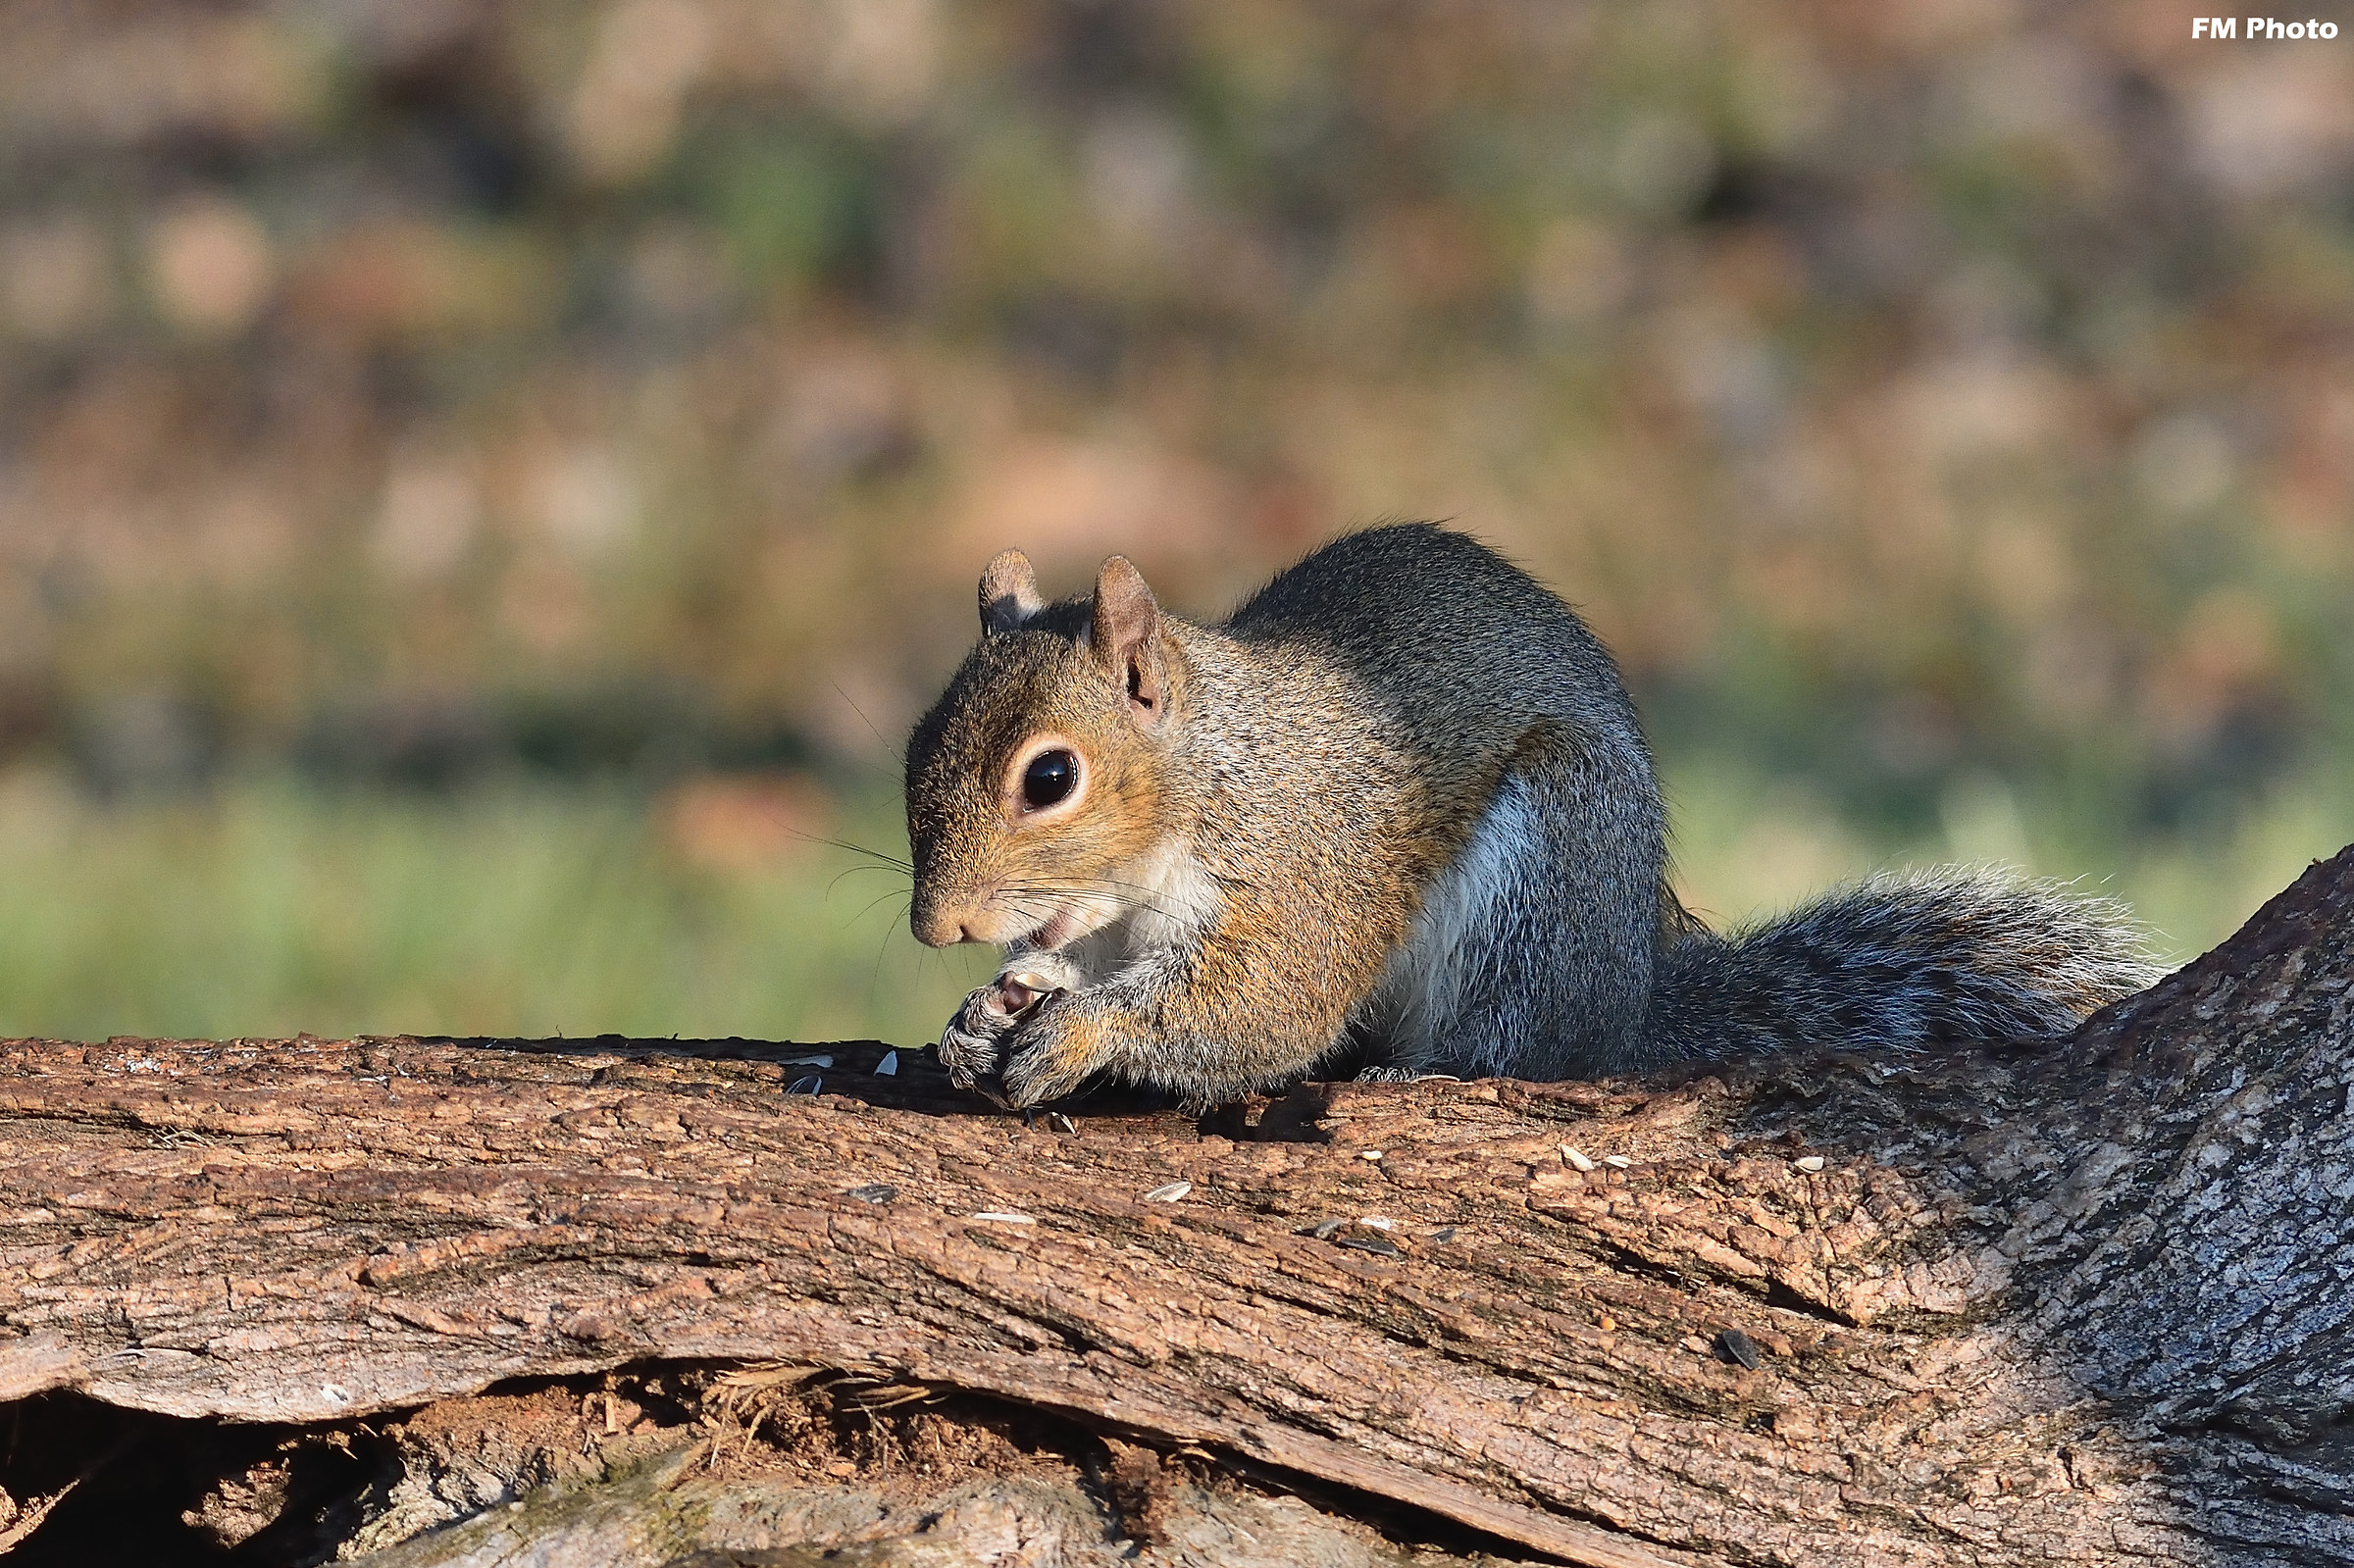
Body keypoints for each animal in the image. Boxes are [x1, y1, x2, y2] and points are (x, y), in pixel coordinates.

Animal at [903, 523, 2157, 1109]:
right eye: (917, 739)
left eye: (1050, 779)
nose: (933, 928)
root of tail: (1628, 996)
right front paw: (988, 1011)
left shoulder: (1305, 867)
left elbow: (1261, 1005)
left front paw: (1078, 1035)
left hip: (1542, 874)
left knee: (1522, 1051)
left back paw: (1429, 1073)